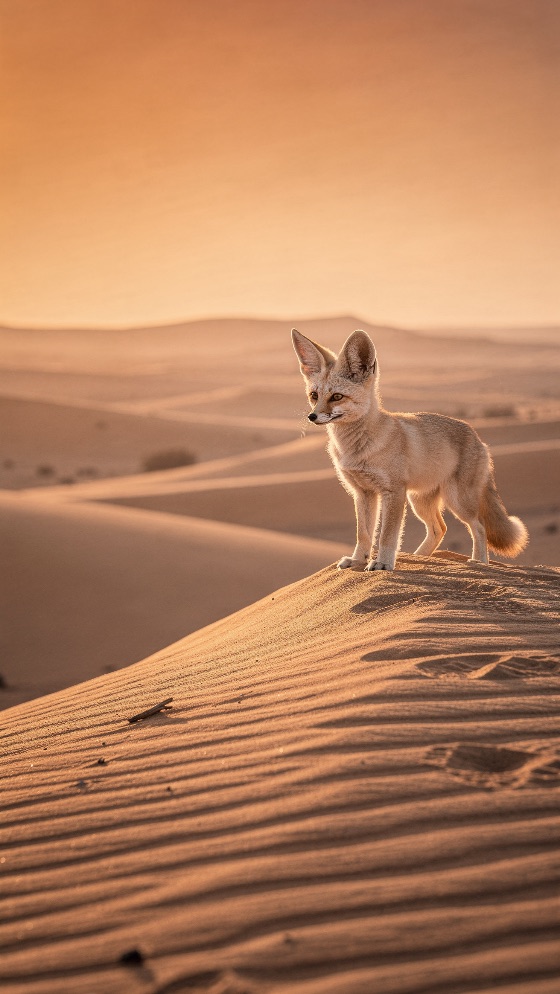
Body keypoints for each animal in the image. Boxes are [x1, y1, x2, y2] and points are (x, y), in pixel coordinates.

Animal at [292, 327, 528, 571]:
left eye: (337, 396)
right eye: (314, 396)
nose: (312, 416)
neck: (358, 448)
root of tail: (479, 438)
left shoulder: (394, 492)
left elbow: (387, 535)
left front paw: (383, 563)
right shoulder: (363, 492)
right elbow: (364, 534)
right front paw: (358, 560)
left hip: (456, 501)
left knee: (479, 526)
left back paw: (479, 562)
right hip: (419, 502)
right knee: (439, 529)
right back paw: (420, 557)